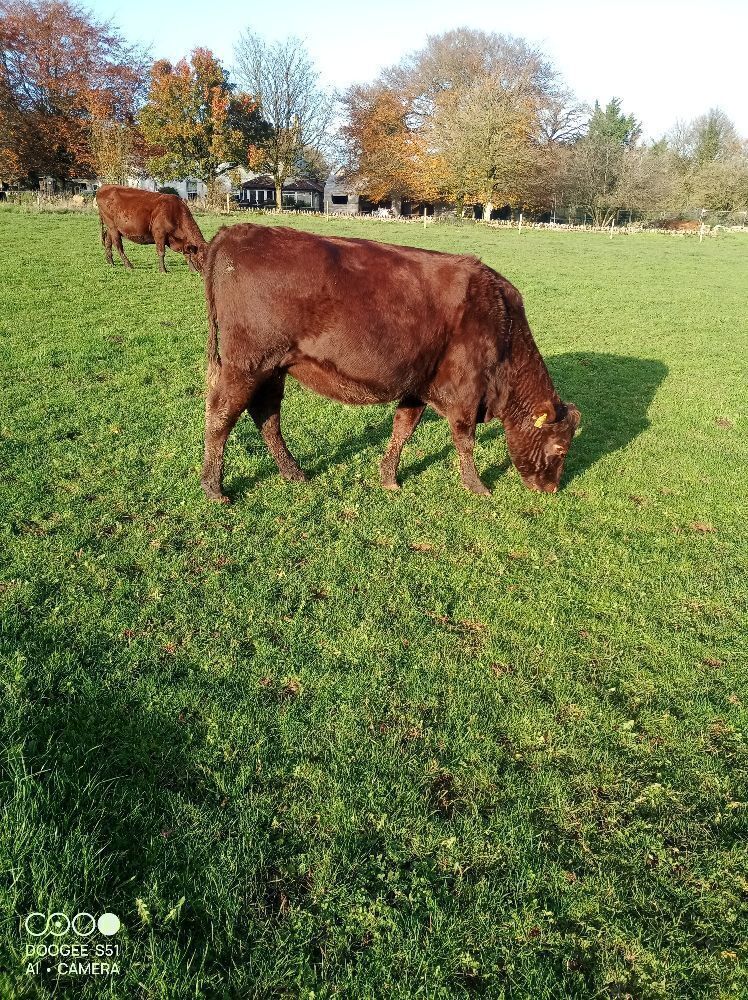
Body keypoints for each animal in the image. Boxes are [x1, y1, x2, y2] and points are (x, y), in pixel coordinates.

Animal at [199, 224, 580, 502]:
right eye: (560, 447)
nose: (551, 489)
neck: (501, 321)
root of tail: (235, 231)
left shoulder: (418, 387)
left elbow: (403, 429)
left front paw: (389, 479)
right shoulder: (465, 393)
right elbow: (464, 440)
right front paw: (477, 487)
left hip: (273, 368)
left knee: (266, 416)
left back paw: (293, 473)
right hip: (246, 365)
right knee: (221, 415)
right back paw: (214, 489)